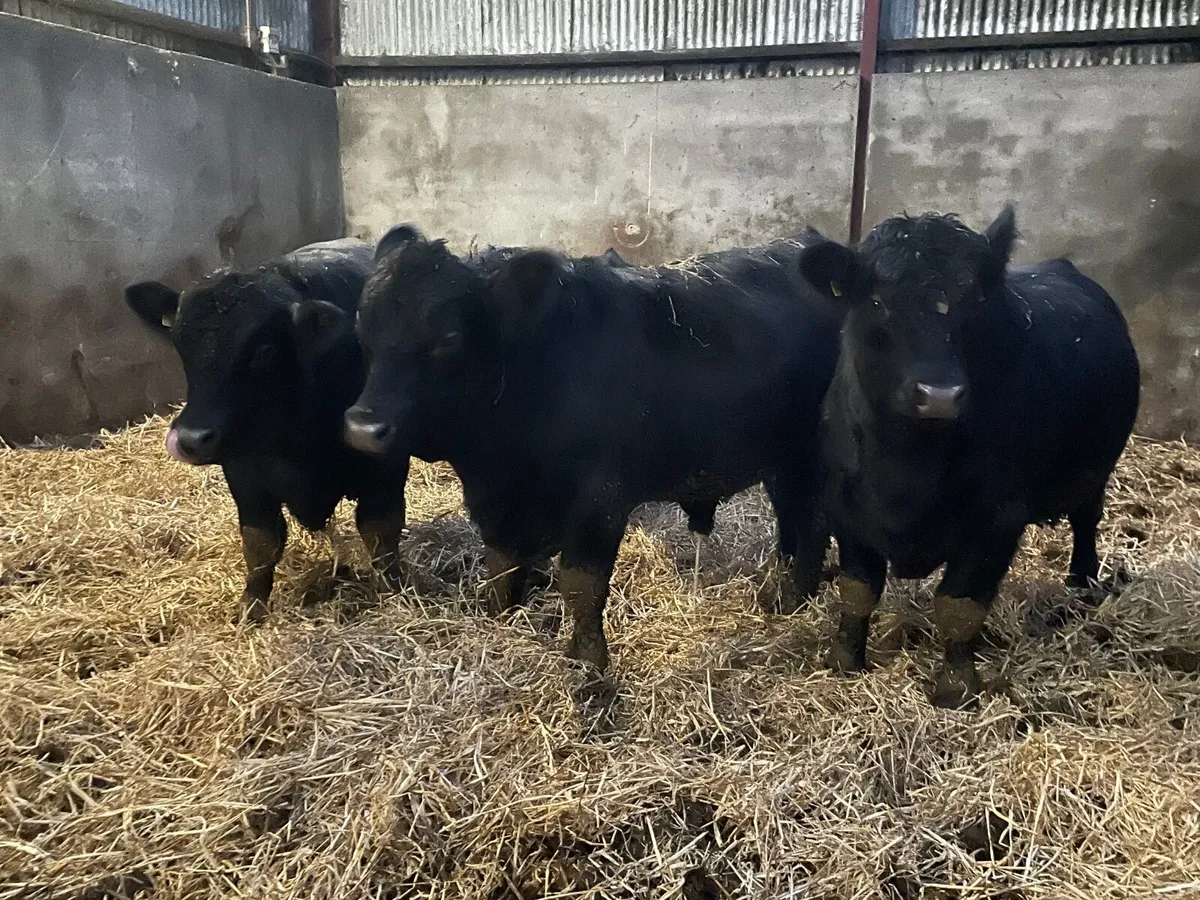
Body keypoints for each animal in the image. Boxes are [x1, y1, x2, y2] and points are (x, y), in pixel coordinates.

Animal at [123, 239, 413, 622]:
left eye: (262, 349)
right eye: (181, 345)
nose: (190, 439)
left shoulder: (386, 467)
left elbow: (381, 532)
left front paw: (394, 593)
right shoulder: (244, 475)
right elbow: (260, 543)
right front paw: (251, 608)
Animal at [343, 225, 844, 674]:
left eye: (447, 339)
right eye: (362, 327)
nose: (364, 428)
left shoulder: (599, 499)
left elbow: (582, 585)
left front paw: (589, 664)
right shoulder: (498, 500)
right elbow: (501, 562)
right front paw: (497, 616)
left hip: (811, 455)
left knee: (814, 519)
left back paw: (792, 597)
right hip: (779, 458)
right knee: (791, 516)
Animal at [794, 207, 1140, 707]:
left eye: (974, 300)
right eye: (877, 300)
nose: (939, 395)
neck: (904, 467)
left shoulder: (996, 521)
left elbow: (959, 607)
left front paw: (956, 687)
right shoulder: (845, 506)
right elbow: (857, 592)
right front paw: (844, 661)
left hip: (1094, 471)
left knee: (1086, 521)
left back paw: (1082, 583)